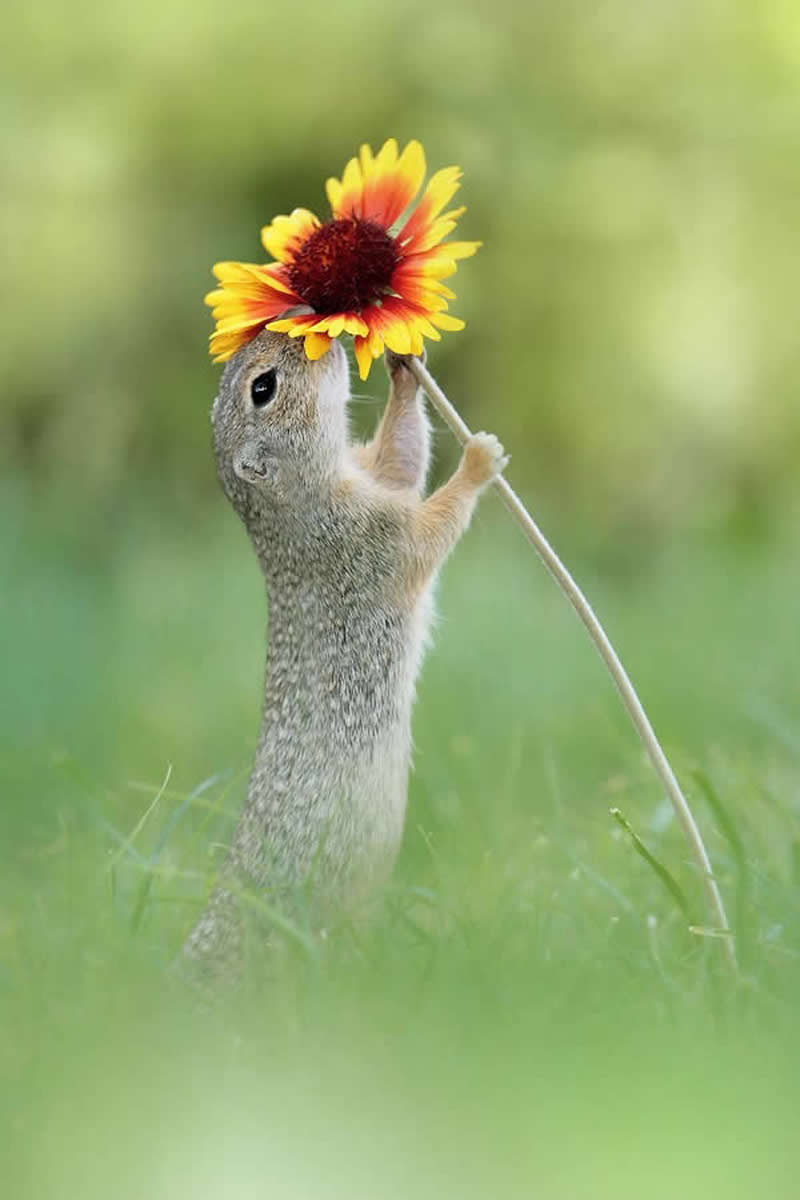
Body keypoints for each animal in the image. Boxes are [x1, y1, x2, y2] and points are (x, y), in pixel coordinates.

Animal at [182, 328, 507, 973]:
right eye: (263, 388)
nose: (304, 322)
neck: (294, 501)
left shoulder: (370, 475)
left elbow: (401, 460)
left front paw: (405, 367)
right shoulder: (369, 536)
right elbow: (427, 527)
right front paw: (479, 459)